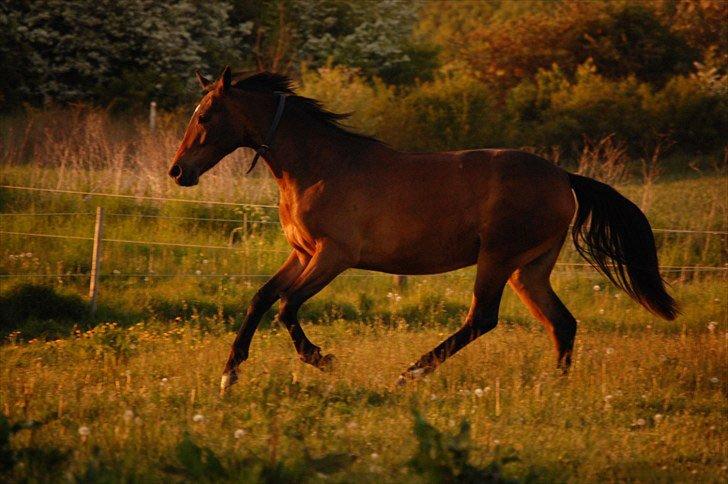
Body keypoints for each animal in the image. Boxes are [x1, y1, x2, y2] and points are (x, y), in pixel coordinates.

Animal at [166, 67, 676, 394]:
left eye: (205, 116)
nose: (177, 171)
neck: (317, 167)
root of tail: (564, 177)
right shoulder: (302, 253)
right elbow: (261, 298)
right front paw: (229, 375)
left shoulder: (333, 255)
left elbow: (287, 306)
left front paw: (322, 359)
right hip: (528, 269)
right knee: (561, 322)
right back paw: (555, 388)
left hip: (498, 259)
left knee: (482, 318)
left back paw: (409, 374)